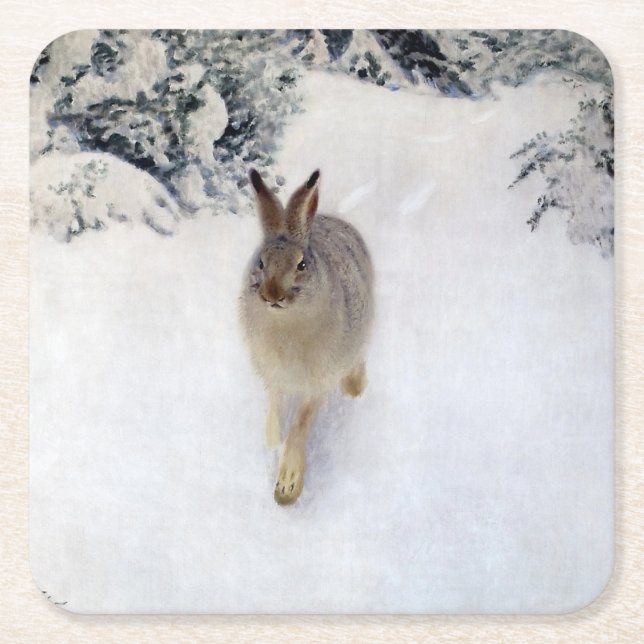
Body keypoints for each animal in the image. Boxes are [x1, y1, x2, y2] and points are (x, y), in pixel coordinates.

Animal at [239, 168, 374, 505]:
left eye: (301, 264)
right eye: (260, 262)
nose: (272, 294)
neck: (287, 325)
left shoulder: (320, 380)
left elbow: (300, 423)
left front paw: (288, 484)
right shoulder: (274, 376)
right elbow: (274, 412)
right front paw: (271, 450)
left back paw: (355, 387)